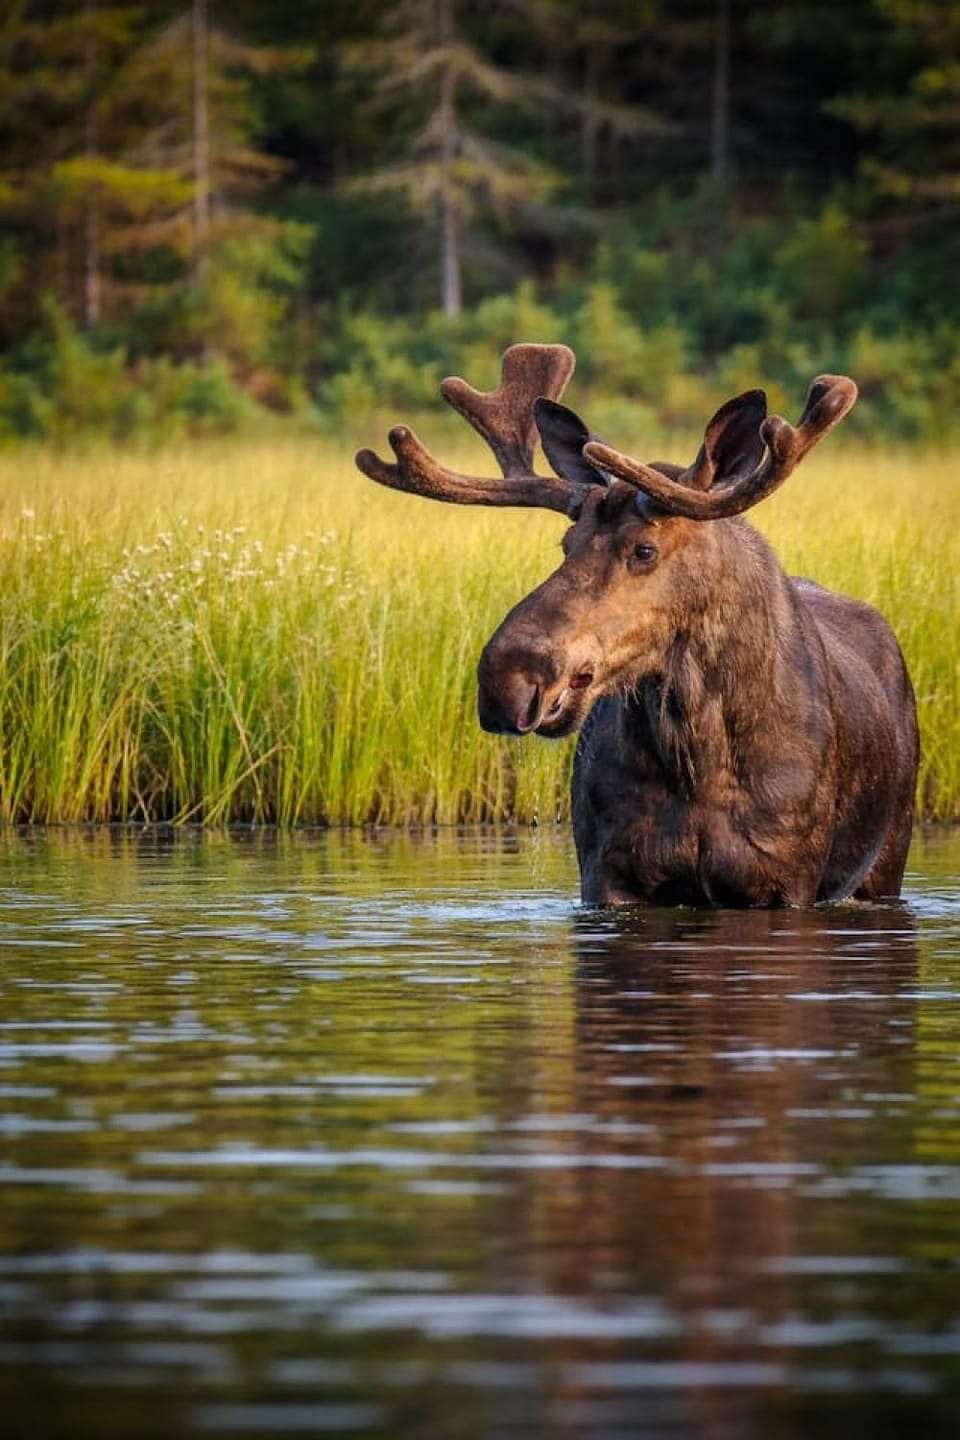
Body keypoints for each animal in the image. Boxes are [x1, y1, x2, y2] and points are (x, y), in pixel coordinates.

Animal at [356, 344, 919, 908]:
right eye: (566, 544)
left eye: (644, 549)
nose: (507, 677)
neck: (697, 758)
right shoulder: (607, 873)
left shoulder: (787, 881)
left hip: (888, 859)